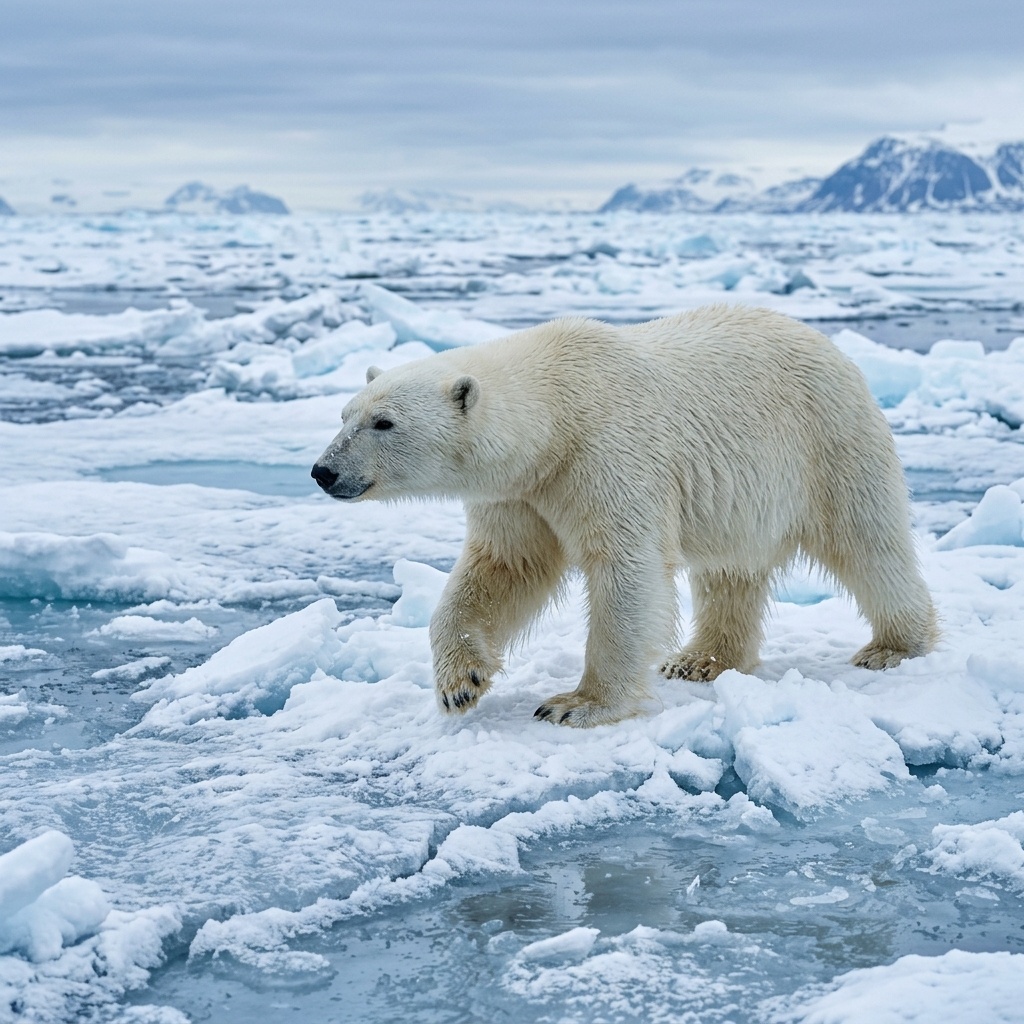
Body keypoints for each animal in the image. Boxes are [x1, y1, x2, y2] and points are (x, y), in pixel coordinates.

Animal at [311, 305, 937, 727]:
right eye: (344, 414)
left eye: (384, 422)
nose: (322, 471)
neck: (555, 415)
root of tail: (833, 348)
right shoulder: (521, 492)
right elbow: (504, 568)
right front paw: (459, 683)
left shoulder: (607, 453)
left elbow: (625, 570)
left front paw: (576, 704)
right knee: (731, 570)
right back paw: (701, 660)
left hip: (827, 442)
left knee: (867, 541)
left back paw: (894, 646)